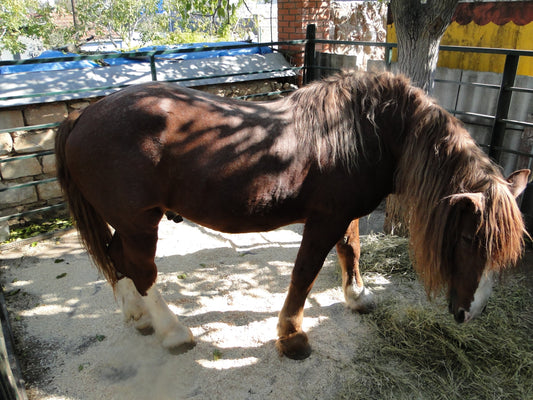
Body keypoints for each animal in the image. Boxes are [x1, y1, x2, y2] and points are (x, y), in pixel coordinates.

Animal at [54, 71, 528, 360]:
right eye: (467, 240)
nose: (470, 314)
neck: (371, 131)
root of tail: (83, 115)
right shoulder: (324, 221)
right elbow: (305, 274)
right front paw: (292, 335)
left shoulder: (346, 215)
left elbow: (351, 251)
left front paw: (358, 296)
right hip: (140, 223)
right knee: (141, 269)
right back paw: (173, 330)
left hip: (127, 223)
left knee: (116, 258)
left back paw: (137, 316)